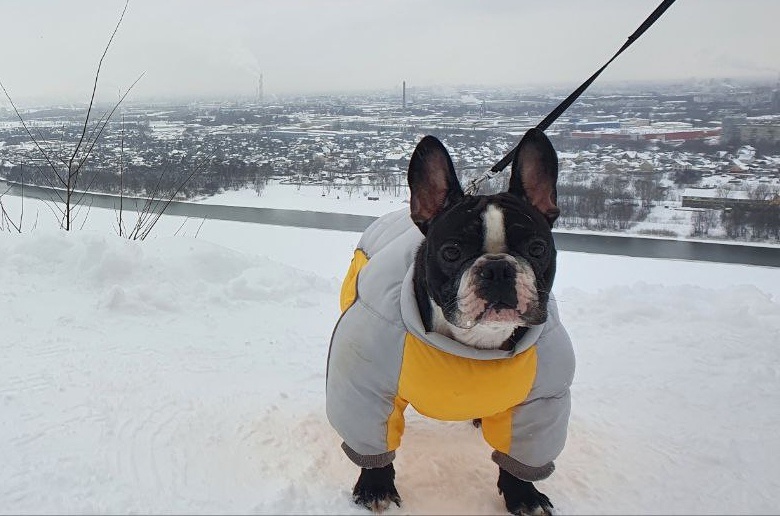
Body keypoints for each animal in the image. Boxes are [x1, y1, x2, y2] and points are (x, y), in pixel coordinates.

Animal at [326, 129, 576, 516]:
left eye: (537, 248)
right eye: (451, 252)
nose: (497, 269)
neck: (473, 345)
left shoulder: (543, 401)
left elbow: (523, 451)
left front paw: (523, 495)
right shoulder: (364, 386)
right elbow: (372, 441)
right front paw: (375, 487)